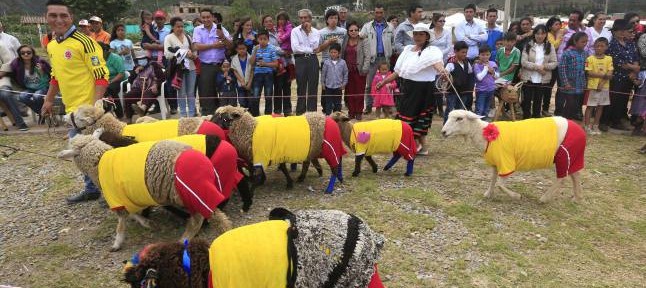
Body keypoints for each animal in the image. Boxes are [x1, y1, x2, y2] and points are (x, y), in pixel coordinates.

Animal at [57, 129, 232, 251]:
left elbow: (122, 222)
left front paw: (117, 242)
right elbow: (133, 213)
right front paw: (147, 223)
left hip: (191, 191)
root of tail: (206, 162)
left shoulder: (116, 198)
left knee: (205, 218)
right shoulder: (131, 197)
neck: (99, 161)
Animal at [213, 106, 346, 194]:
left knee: (335, 166)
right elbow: (281, 168)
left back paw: (329, 188)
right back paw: (307, 177)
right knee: (312, 163)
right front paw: (287, 182)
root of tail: (326, 117)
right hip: (313, 149)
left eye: (223, 118)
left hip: (330, 148)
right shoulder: (269, 154)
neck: (251, 129)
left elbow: (261, 172)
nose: (210, 123)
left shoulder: (266, 154)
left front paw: (252, 189)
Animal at [440, 110, 588, 202]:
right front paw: (488, 194)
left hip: (563, 155)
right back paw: (578, 197)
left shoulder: (506, 162)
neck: (485, 135)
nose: (443, 132)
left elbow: (500, 184)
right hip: (572, 156)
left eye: (459, 118)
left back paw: (544, 198)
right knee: (575, 175)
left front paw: (516, 196)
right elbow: (493, 180)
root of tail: (580, 130)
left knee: (562, 179)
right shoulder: (496, 163)